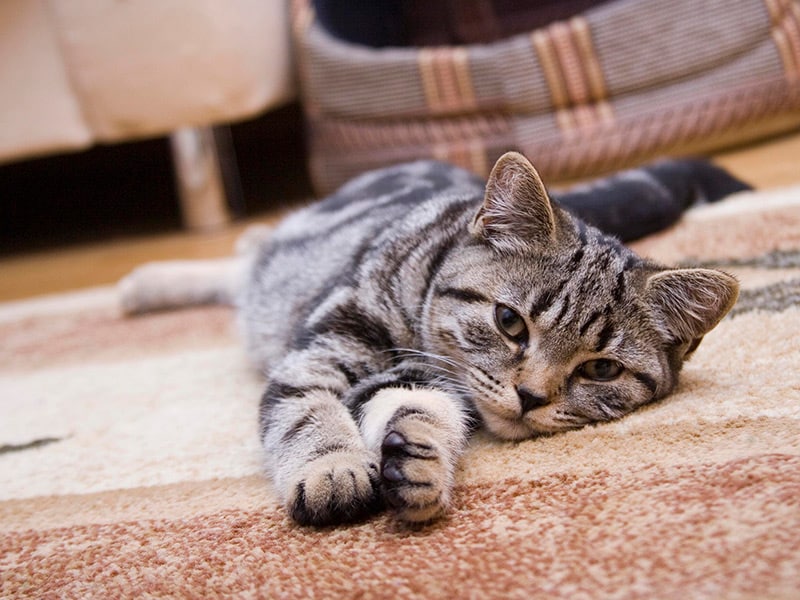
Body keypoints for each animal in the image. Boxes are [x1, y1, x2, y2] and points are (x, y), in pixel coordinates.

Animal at [120, 151, 752, 524]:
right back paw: (144, 284)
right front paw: (331, 468)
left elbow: (416, 408)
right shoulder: (324, 345)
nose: (531, 397)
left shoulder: (414, 378)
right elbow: (306, 410)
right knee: (245, 261)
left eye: (601, 369)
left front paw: (416, 460)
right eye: (509, 322)